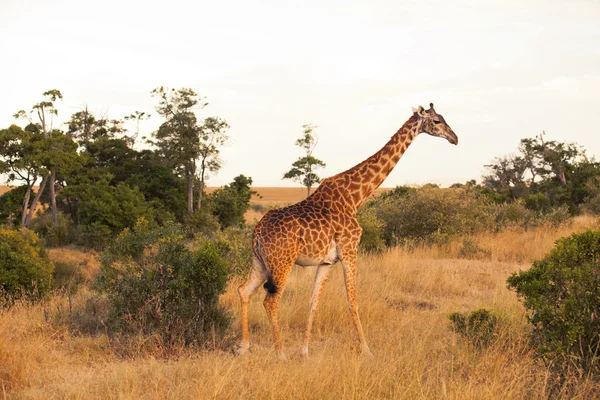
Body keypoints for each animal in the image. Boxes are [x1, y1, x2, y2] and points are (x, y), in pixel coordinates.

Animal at [234, 103, 460, 360]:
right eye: (436, 121)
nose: (455, 138)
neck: (355, 197)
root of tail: (257, 233)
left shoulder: (327, 261)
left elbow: (313, 302)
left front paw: (305, 352)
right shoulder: (350, 250)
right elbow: (353, 300)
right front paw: (367, 350)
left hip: (260, 262)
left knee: (243, 290)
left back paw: (243, 347)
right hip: (283, 263)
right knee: (270, 301)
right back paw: (280, 354)